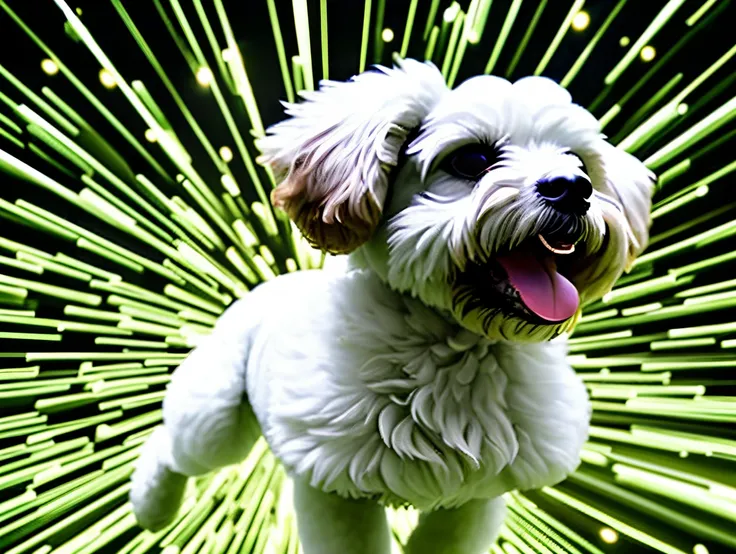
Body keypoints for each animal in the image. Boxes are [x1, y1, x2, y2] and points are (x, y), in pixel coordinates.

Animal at [131, 58, 656, 548]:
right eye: (472, 160)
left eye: (581, 165)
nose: (573, 189)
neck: (457, 348)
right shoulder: (333, 486)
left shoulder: (478, 495)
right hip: (213, 417)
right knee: (171, 445)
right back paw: (149, 505)